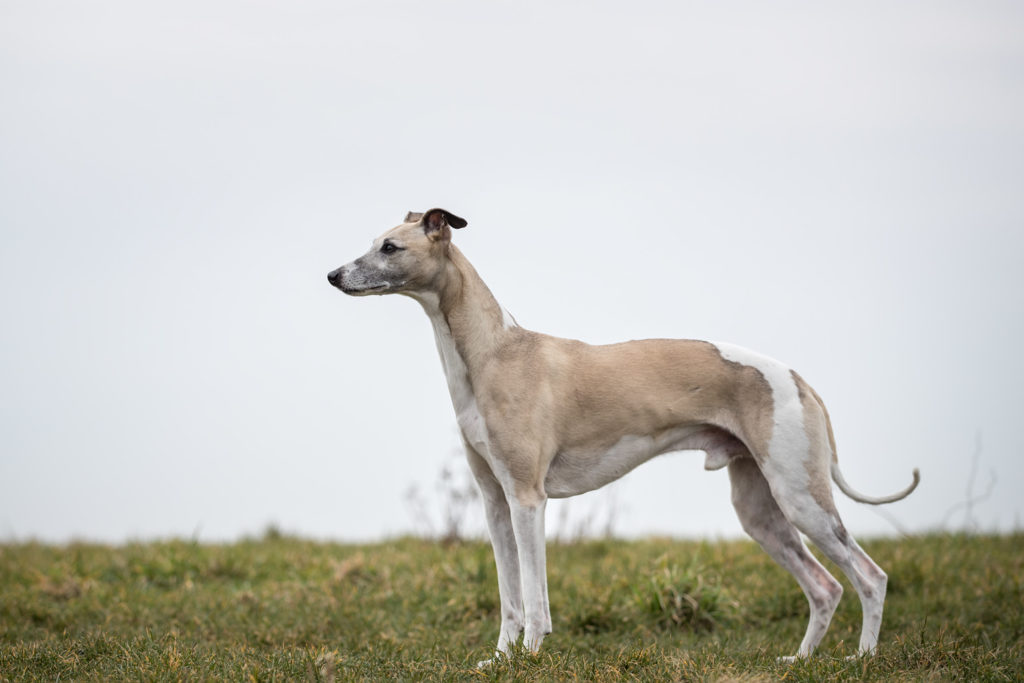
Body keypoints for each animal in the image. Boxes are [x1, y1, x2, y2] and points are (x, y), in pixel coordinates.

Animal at [327, 208, 921, 663]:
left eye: (389, 247)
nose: (332, 275)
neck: (493, 352)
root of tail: (798, 379)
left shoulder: (528, 499)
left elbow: (535, 599)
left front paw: (530, 660)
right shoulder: (495, 502)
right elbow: (510, 597)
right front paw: (498, 660)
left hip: (801, 497)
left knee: (870, 577)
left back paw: (862, 658)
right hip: (761, 511)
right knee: (826, 587)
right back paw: (799, 661)